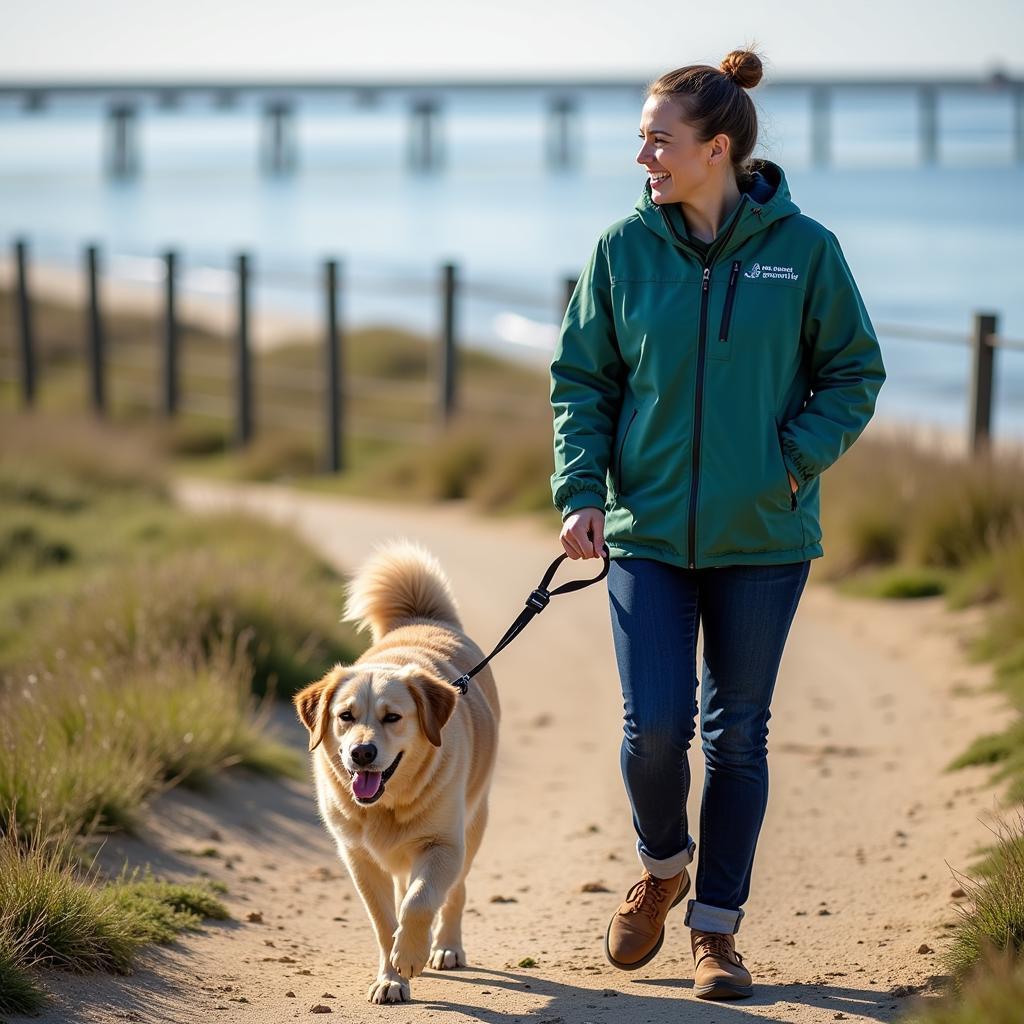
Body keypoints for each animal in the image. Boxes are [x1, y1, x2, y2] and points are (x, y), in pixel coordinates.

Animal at [292, 540, 499, 1003]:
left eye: (392, 718)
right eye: (345, 716)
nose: (362, 753)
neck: (387, 805)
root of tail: (424, 618)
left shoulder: (443, 845)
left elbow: (420, 902)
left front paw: (411, 954)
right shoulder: (359, 859)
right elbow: (386, 922)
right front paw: (392, 976)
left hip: (474, 826)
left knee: (454, 892)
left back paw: (445, 947)